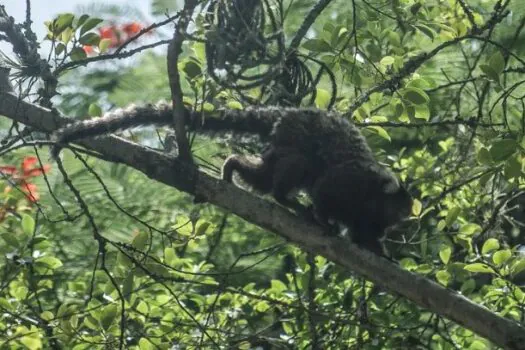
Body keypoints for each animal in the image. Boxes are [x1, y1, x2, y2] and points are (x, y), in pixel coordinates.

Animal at [51, 104, 412, 254]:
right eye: (399, 210)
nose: (403, 220)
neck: (372, 198)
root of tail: (288, 113)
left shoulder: (369, 219)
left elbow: (365, 236)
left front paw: (380, 251)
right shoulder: (350, 183)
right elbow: (325, 192)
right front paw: (325, 220)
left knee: (265, 176)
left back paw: (234, 167)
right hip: (295, 137)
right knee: (300, 165)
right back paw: (286, 199)